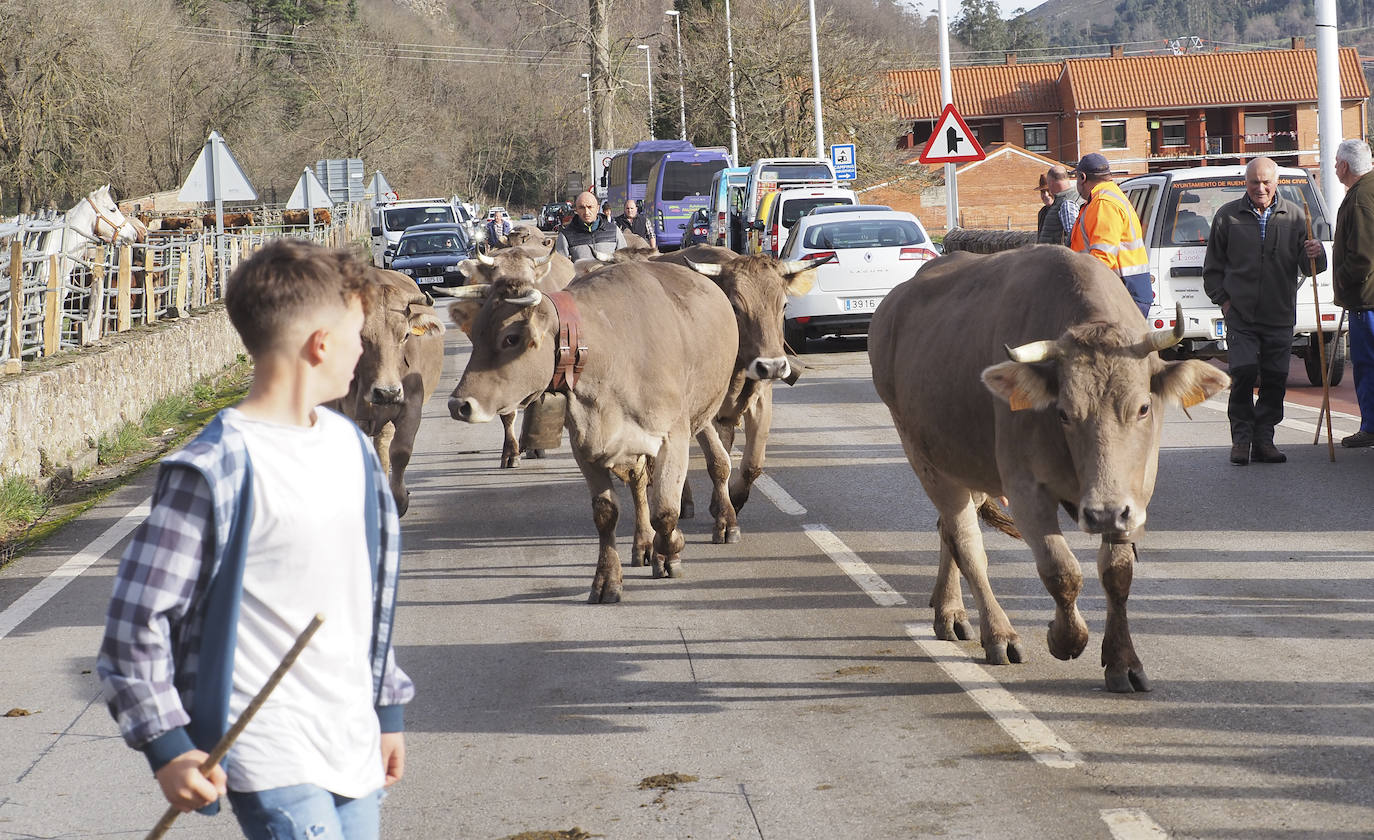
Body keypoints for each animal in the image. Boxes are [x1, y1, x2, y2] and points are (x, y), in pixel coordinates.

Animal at [324, 266, 442, 516]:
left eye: (405, 335)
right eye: (361, 336)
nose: (387, 392)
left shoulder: (411, 406)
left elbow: (400, 451)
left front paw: (399, 501)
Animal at [447, 259, 741, 602]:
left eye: (511, 338)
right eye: (477, 333)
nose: (458, 404)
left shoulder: (672, 437)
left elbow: (666, 511)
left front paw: (671, 550)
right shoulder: (585, 445)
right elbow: (606, 514)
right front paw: (607, 579)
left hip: (700, 413)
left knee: (718, 463)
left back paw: (725, 523)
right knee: (640, 483)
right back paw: (643, 544)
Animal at [862, 246, 1231, 692]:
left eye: (1143, 407)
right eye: (1065, 413)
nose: (1102, 513)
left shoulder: (1135, 495)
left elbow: (1117, 573)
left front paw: (1122, 661)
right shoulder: (1025, 491)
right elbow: (1061, 570)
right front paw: (1065, 638)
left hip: (967, 463)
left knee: (947, 531)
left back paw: (948, 610)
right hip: (924, 456)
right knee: (965, 541)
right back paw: (997, 633)